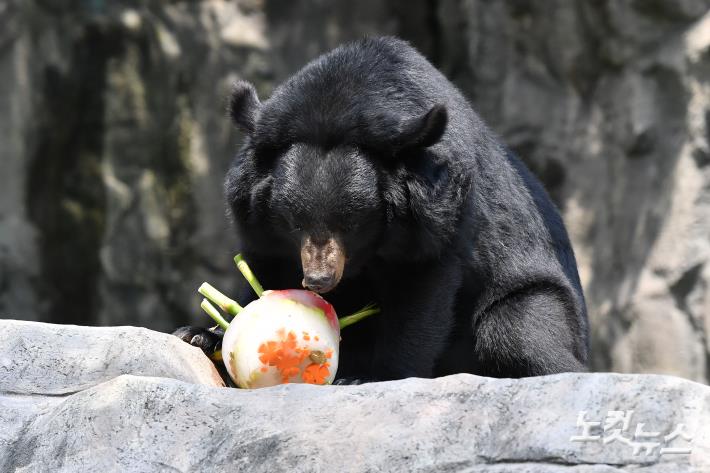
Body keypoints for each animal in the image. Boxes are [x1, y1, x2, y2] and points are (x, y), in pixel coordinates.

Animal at [175, 37, 592, 384]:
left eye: (351, 223)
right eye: (294, 223)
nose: (318, 280)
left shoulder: (436, 213)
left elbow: (419, 294)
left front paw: (372, 378)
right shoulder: (255, 213)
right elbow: (262, 272)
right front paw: (202, 334)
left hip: (541, 299)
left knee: (517, 332)